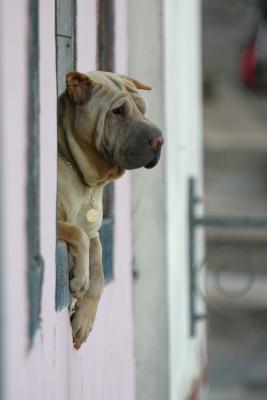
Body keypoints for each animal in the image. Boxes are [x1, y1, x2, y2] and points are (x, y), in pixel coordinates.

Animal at [57, 70, 164, 348]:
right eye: (117, 112)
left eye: (142, 108)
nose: (159, 141)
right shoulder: (57, 226)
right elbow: (76, 234)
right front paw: (80, 279)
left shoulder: (94, 232)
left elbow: (100, 272)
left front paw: (84, 319)